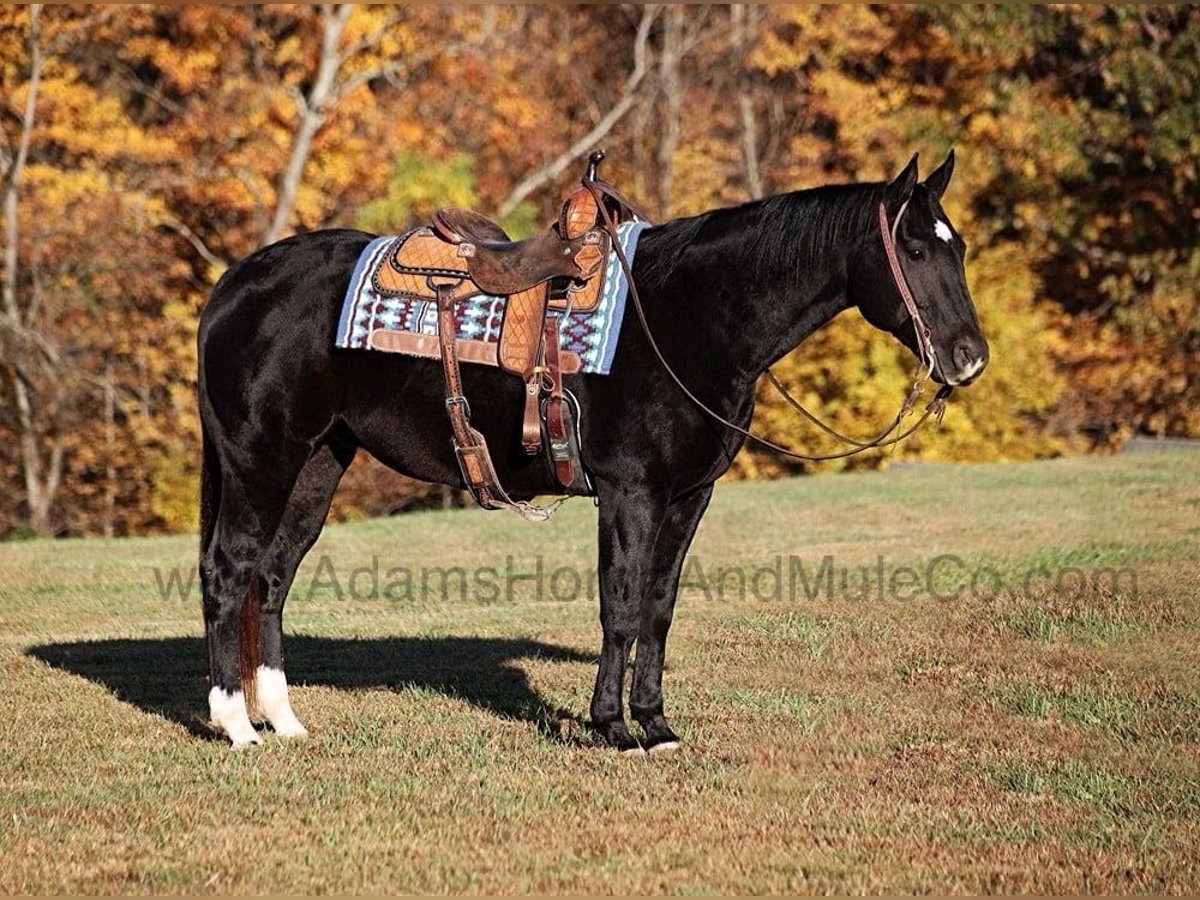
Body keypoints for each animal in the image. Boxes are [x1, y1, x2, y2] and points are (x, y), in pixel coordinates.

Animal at [194, 151, 984, 748]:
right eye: (915, 247)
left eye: (962, 246)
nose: (969, 356)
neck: (685, 316)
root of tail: (236, 282)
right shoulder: (630, 492)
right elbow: (621, 605)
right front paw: (613, 727)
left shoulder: (688, 497)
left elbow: (659, 607)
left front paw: (657, 724)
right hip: (261, 460)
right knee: (230, 570)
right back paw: (237, 726)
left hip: (318, 462)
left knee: (272, 576)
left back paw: (285, 720)